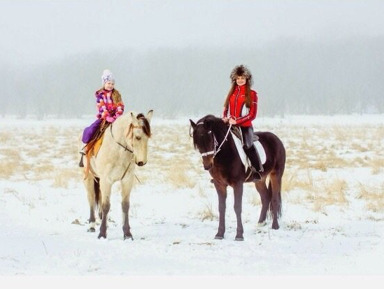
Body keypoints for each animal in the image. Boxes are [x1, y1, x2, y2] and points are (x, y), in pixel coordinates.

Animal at [82, 110, 153, 238]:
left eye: (148, 137)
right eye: (137, 137)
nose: (142, 162)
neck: (118, 150)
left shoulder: (127, 180)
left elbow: (125, 205)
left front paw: (127, 233)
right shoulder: (106, 180)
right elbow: (106, 205)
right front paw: (102, 234)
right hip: (89, 178)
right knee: (91, 199)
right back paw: (92, 226)